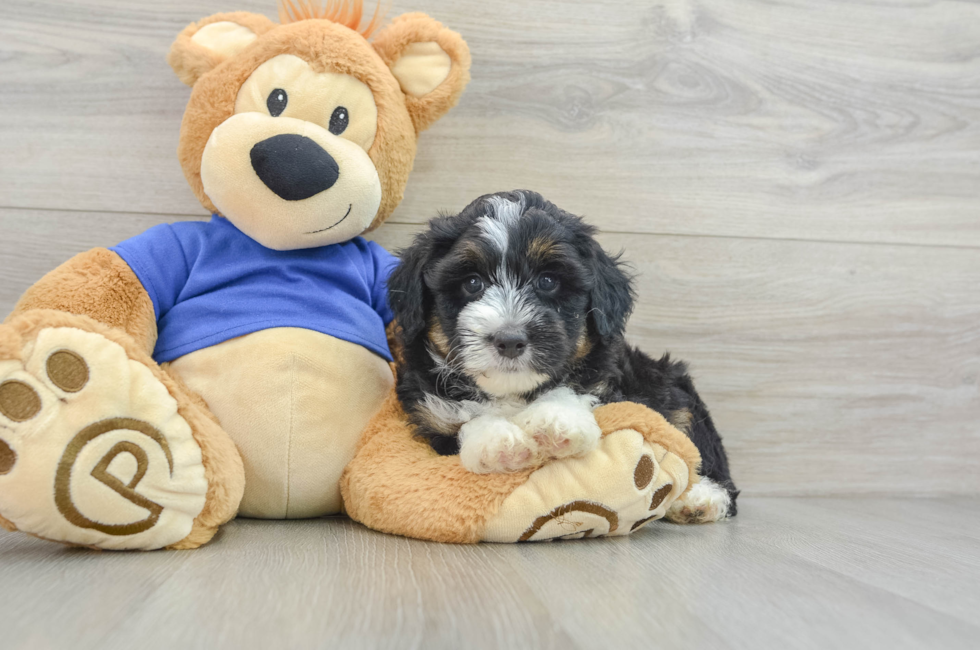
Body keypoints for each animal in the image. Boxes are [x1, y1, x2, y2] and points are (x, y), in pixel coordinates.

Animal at [386, 189, 740, 520]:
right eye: (472, 283)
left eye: (548, 281)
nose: (510, 339)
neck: (513, 394)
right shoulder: (430, 416)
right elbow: (461, 424)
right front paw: (498, 442)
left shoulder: (610, 385)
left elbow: (575, 390)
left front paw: (556, 421)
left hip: (673, 388)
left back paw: (701, 498)